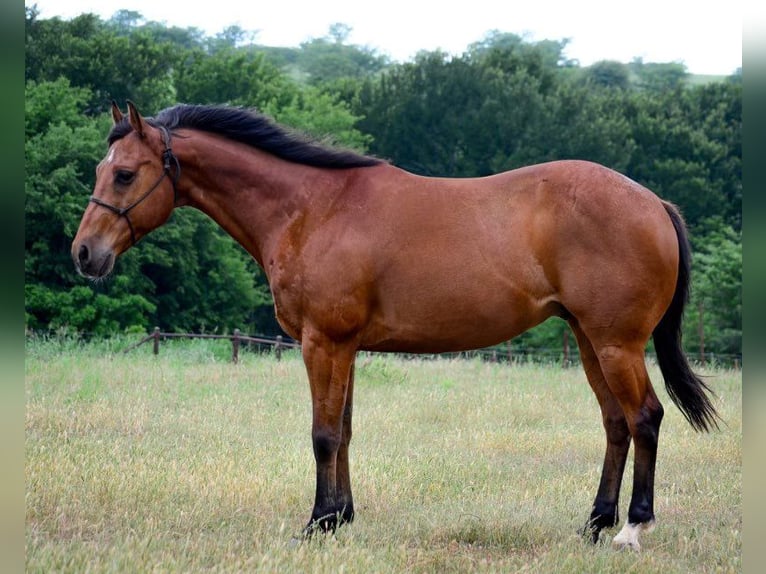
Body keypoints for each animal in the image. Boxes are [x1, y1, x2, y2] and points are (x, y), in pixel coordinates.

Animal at [72, 101, 720, 552]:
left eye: (124, 175)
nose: (83, 254)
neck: (311, 209)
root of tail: (654, 203)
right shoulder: (346, 347)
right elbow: (344, 431)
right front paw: (340, 519)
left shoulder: (323, 342)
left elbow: (322, 434)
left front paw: (316, 524)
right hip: (589, 341)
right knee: (616, 424)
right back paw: (592, 525)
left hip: (616, 344)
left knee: (645, 418)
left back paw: (631, 529)